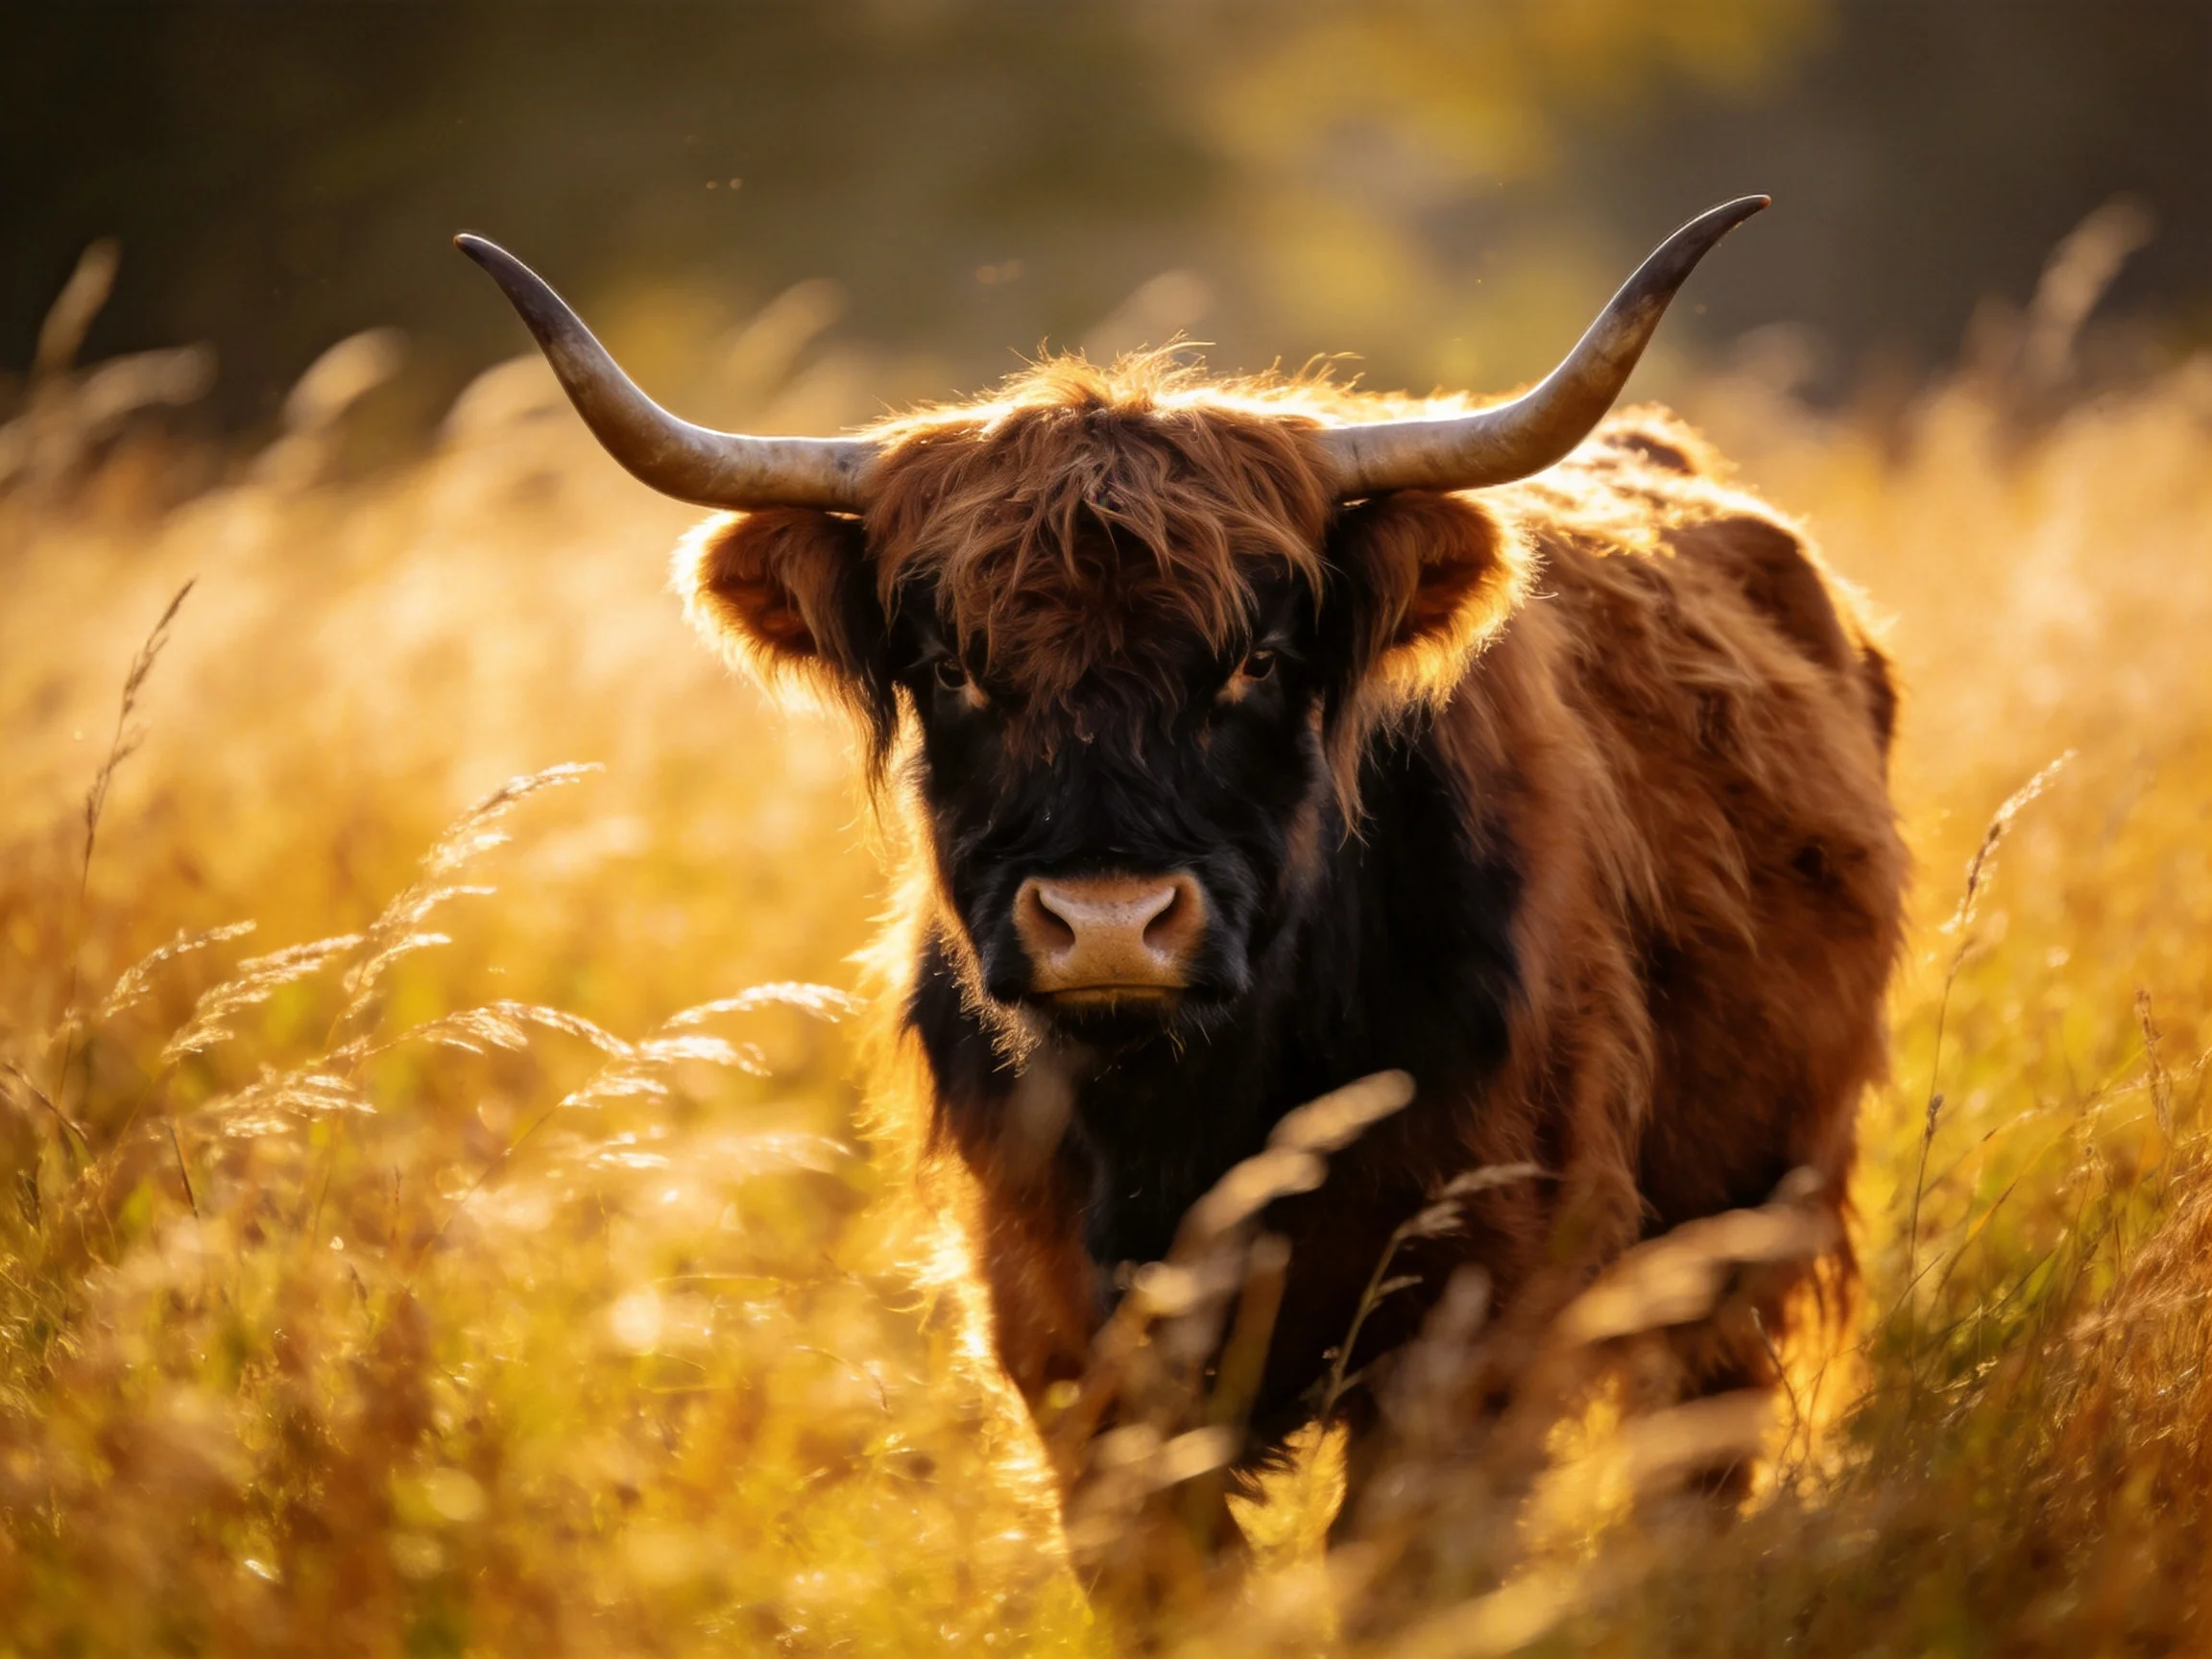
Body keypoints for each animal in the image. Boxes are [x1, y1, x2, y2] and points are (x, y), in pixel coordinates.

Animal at [458, 197, 1906, 1530]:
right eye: (950, 666)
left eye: (1256, 659)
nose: (1108, 922)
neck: (1184, 1124)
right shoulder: (1067, 1349)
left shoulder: (1475, 1322)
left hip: (1743, 1225)